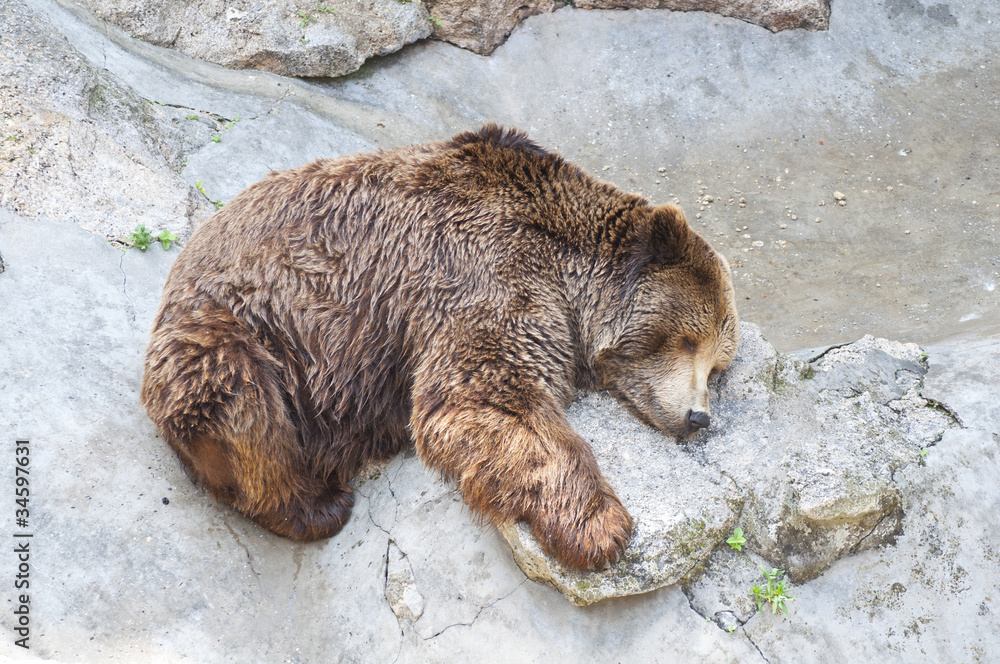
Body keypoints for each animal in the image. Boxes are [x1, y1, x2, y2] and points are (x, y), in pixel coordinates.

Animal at [141, 125, 739, 570]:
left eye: (718, 366)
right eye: (687, 339)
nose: (698, 417)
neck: (566, 263)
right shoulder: (483, 267)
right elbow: (486, 391)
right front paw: (602, 526)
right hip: (241, 333)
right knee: (244, 406)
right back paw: (319, 503)